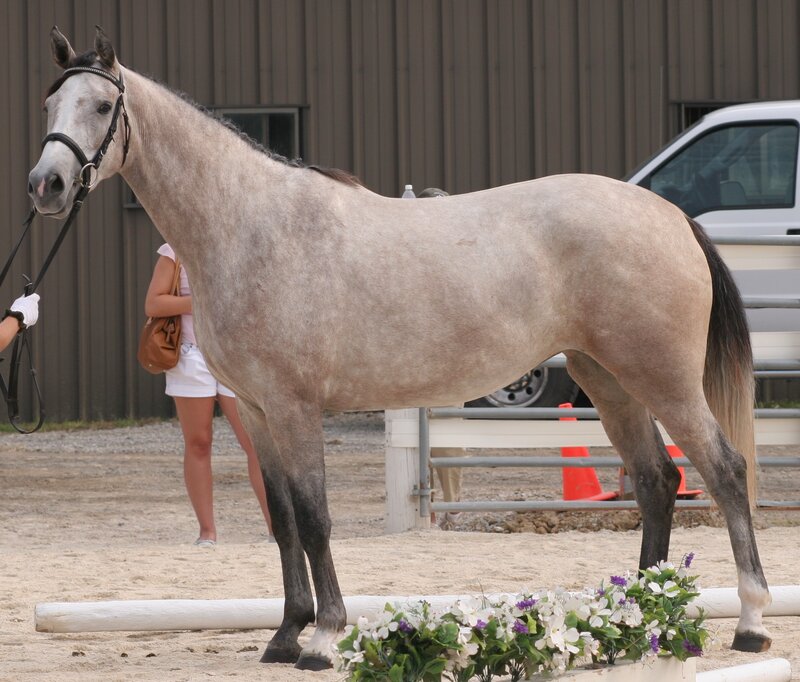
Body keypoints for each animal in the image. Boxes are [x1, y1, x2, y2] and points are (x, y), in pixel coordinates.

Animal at [27, 27, 772, 668]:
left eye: (102, 105)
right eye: (50, 105)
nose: (46, 186)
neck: (251, 224)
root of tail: (669, 214)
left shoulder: (295, 409)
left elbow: (316, 518)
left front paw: (323, 638)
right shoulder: (260, 413)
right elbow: (285, 522)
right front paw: (285, 634)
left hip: (661, 377)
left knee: (723, 470)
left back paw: (750, 622)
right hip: (609, 379)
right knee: (656, 482)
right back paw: (633, 617)